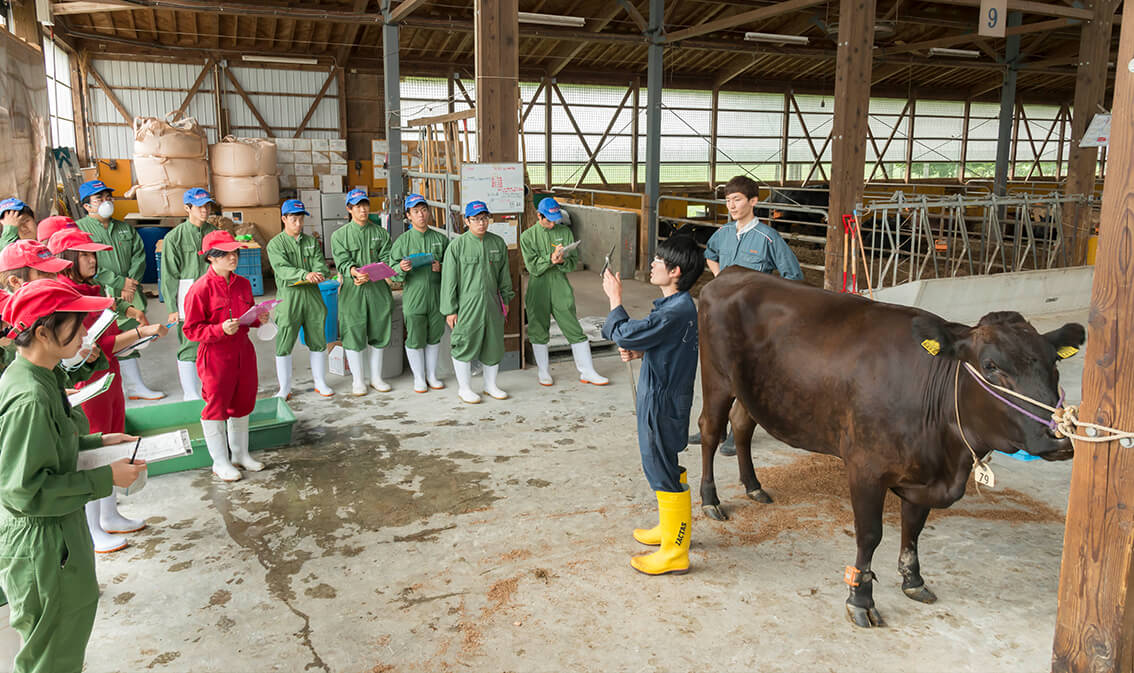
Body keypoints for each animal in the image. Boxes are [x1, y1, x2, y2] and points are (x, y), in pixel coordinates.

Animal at [694, 265, 1084, 626]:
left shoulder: (924, 476)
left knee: (741, 425)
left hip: (753, 391)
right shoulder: (865, 468)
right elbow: (870, 535)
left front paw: (913, 579)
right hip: (717, 378)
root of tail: (733, 272)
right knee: (710, 431)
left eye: (1054, 363)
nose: (1059, 437)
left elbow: (913, 528)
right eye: (990, 365)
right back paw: (711, 499)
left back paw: (753, 486)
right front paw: (860, 598)